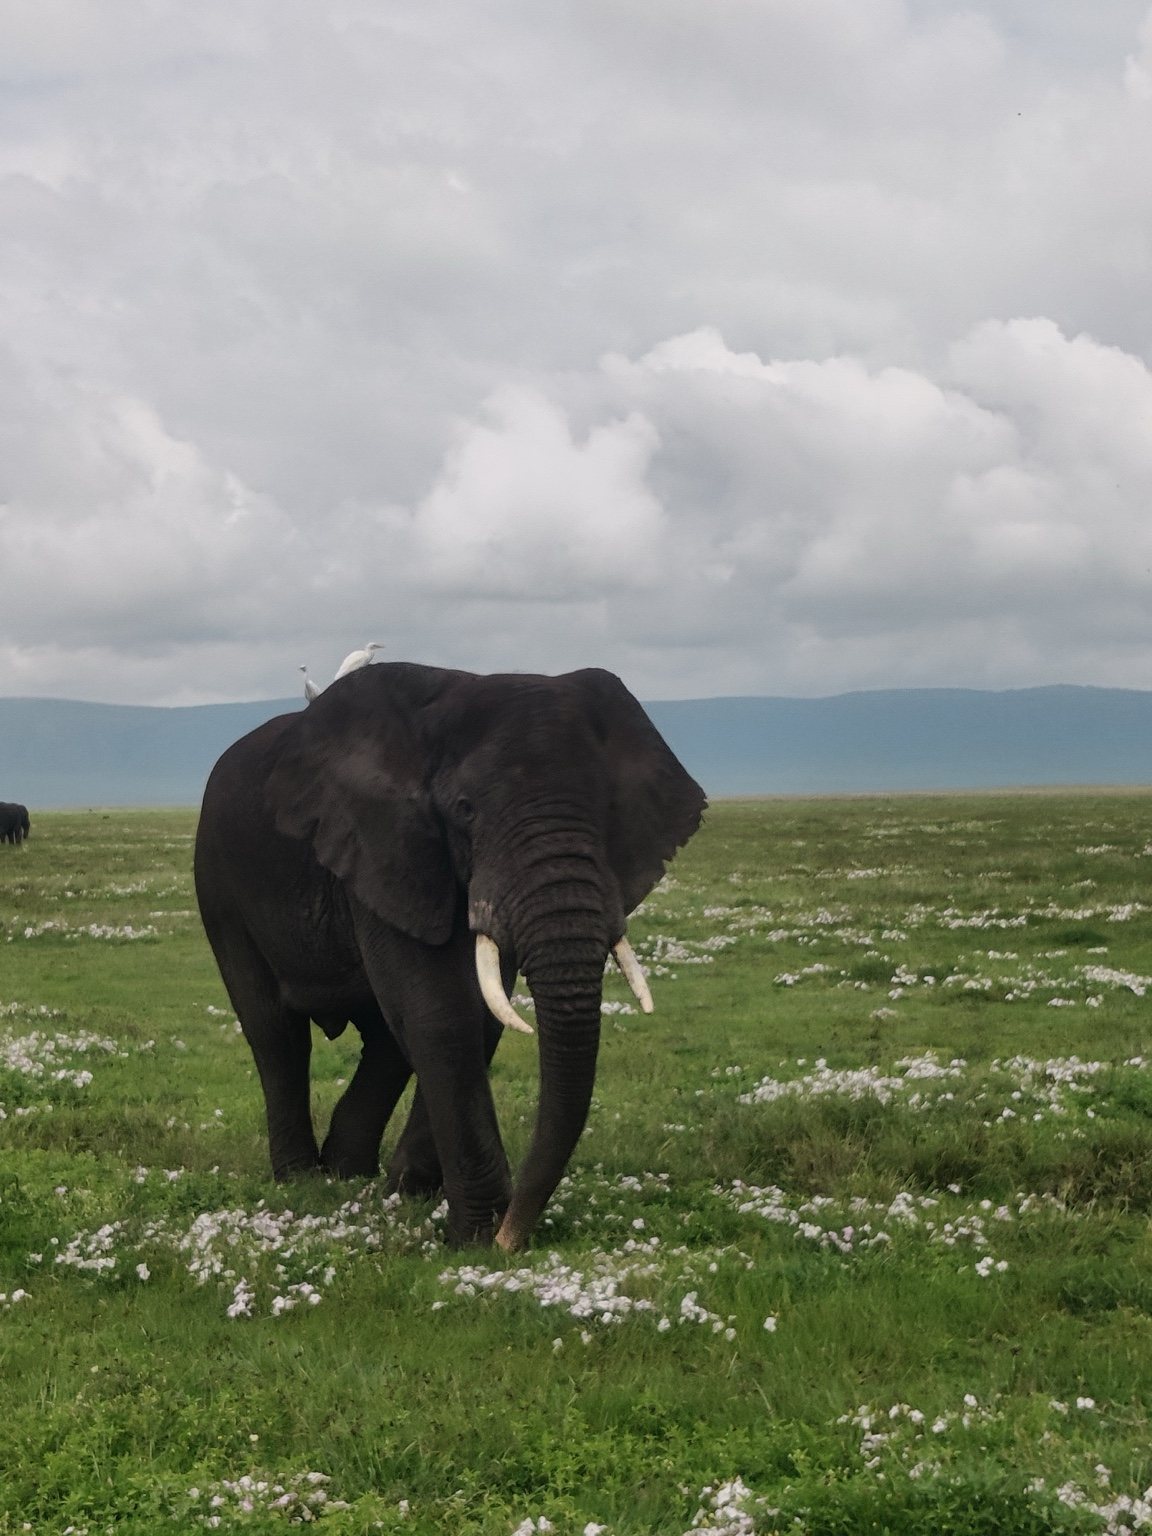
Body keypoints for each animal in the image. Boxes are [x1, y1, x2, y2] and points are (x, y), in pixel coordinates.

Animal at [193, 662, 705, 1249]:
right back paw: (302, 1179)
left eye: (608, 811)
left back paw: (351, 1173)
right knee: (275, 1033)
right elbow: (440, 1010)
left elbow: (479, 1013)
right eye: (465, 811)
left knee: (384, 1039)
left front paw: (417, 1196)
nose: (512, 1237)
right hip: (219, 884)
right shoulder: (382, 844)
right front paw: (477, 1237)